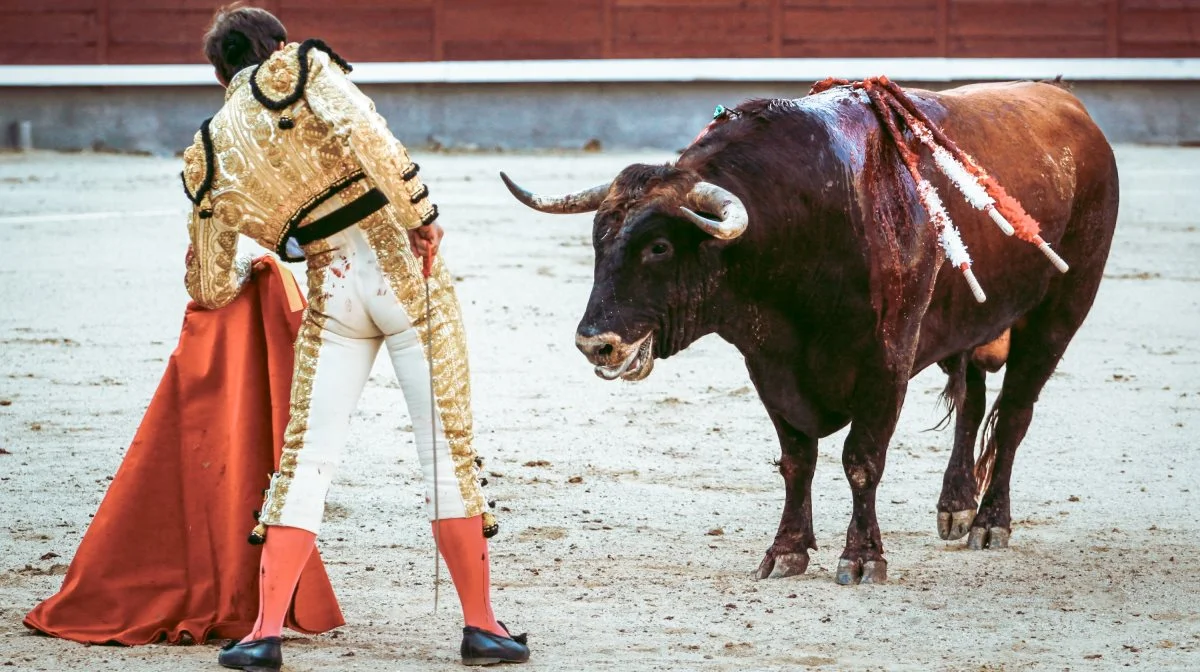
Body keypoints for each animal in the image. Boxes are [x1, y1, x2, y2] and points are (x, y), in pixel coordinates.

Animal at [496, 79, 1113, 583]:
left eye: (660, 246)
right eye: (598, 240)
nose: (594, 342)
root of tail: (1069, 103)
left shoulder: (887, 361)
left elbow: (862, 459)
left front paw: (862, 558)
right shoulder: (769, 363)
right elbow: (796, 459)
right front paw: (786, 551)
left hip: (1059, 314)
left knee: (1013, 415)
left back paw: (990, 523)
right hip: (968, 323)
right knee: (972, 400)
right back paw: (955, 508)